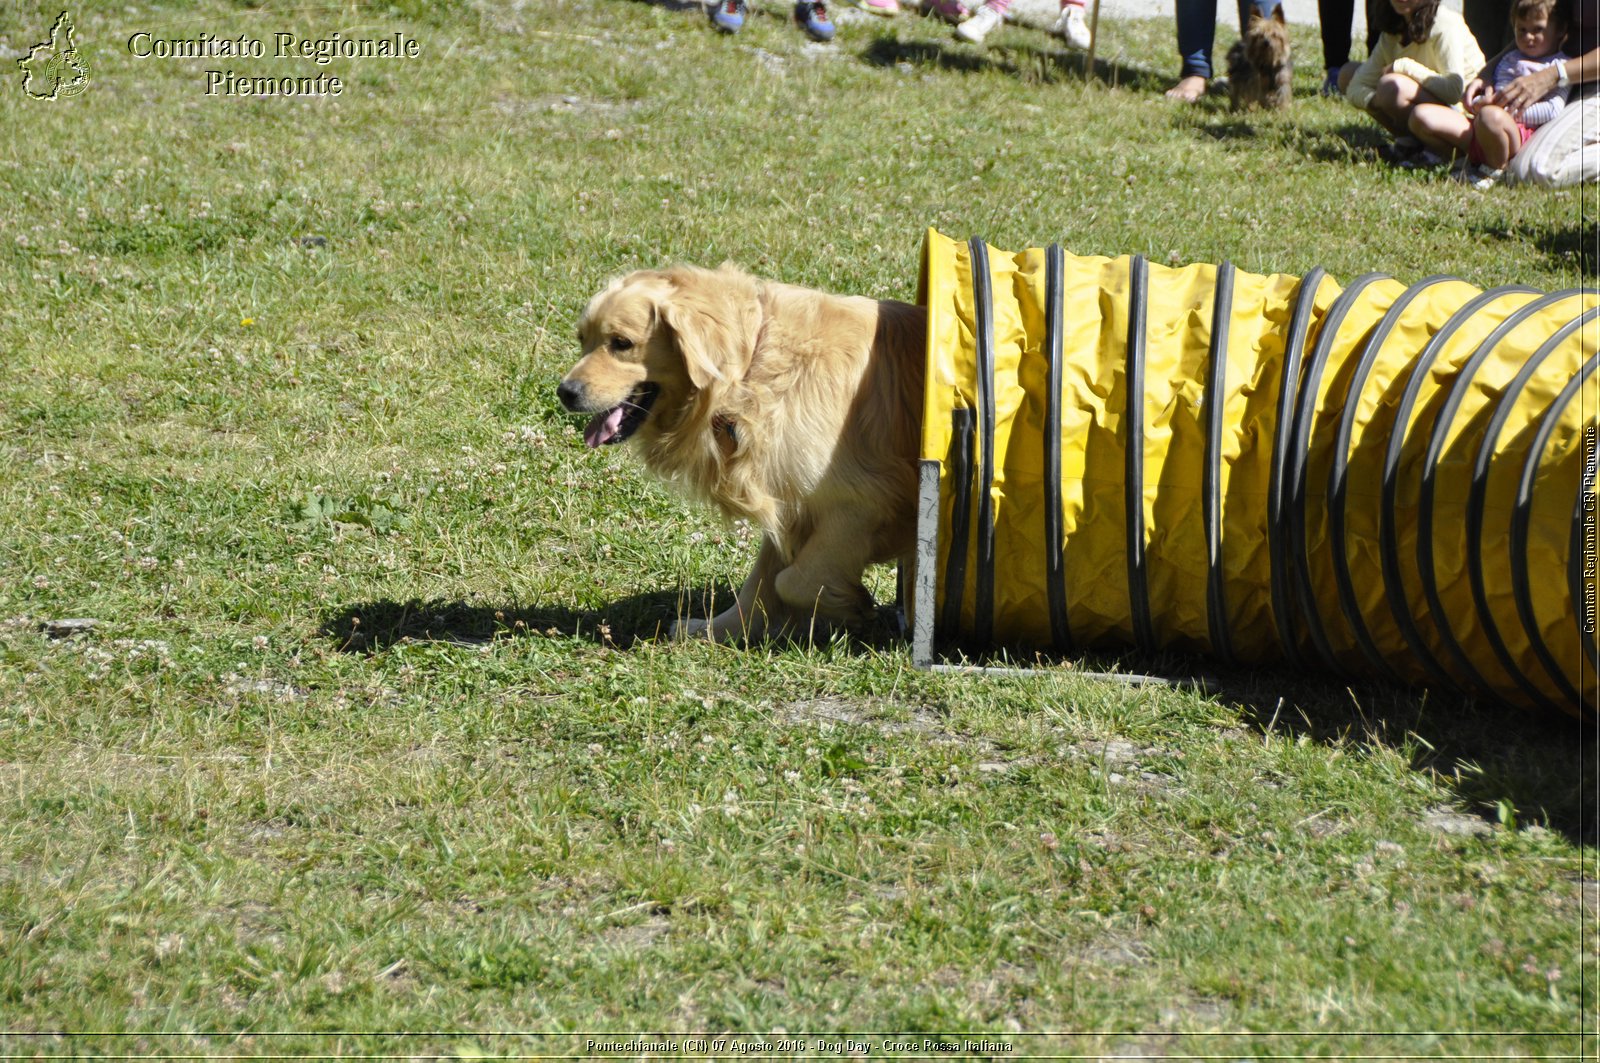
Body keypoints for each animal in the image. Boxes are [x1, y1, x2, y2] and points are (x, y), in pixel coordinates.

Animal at [560, 265, 928, 643]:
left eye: (621, 343)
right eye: (582, 339)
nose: (565, 392)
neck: (751, 366)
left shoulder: (863, 500)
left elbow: (792, 581)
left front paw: (851, 605)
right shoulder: (791, 500)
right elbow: (761, 584)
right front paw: (713, 630)